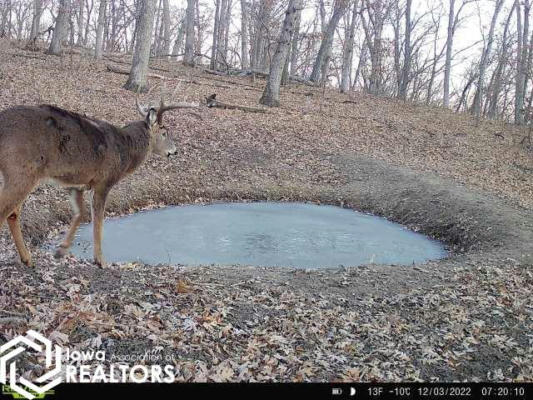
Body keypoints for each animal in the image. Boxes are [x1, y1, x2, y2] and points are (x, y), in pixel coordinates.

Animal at [0, 89, 198, 268]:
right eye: (164, 132)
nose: (175, 151)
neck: (126, 150)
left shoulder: (78, 182)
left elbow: (81, 214)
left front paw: (61, 250)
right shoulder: (105, 181)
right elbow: (98, 220)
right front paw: (101, 261)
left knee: (13, 213)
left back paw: (27, 258)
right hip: (21, 171)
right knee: (5, 210)